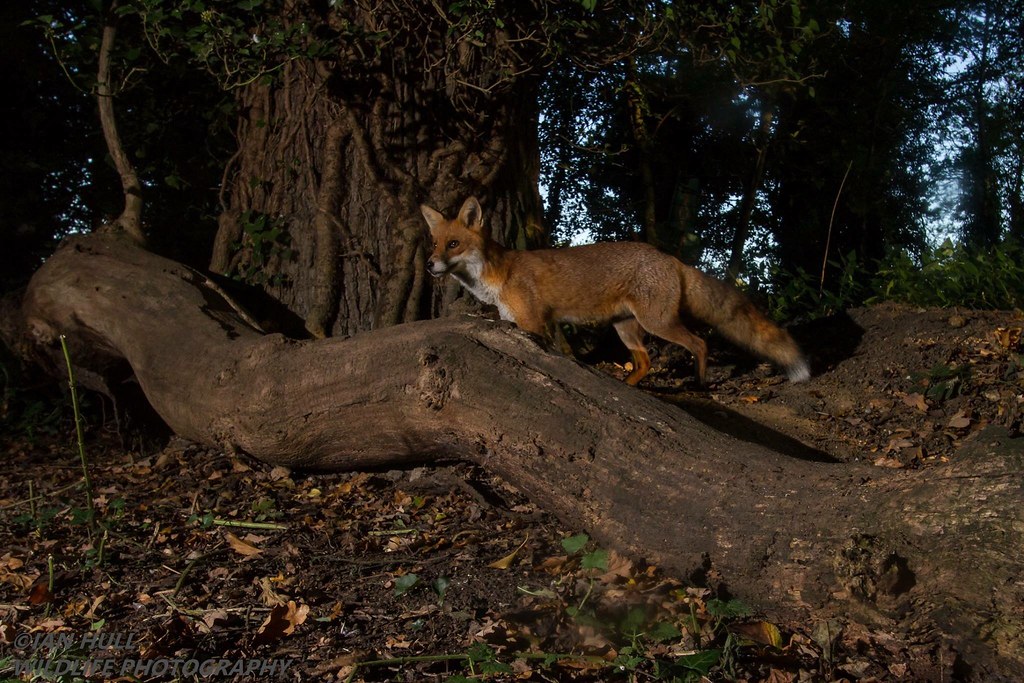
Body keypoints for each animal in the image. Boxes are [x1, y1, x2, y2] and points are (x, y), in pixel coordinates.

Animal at [421, 196, 810, 386]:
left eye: (454, 244)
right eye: (434, 244)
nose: (428, 265)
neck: (498, 274)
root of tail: (670, 258)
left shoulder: (533, 323)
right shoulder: (515, 320)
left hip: (657, 323)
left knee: (700, 343)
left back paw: (699, 384)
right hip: (626, 328)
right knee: (646, 360)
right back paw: (629, 385)